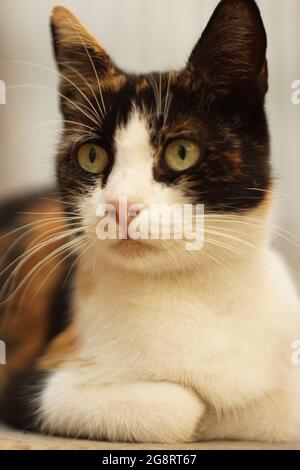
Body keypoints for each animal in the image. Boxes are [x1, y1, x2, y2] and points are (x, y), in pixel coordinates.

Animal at [0, 0, 298, 442]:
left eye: (181, 152)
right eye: (92, 156)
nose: (121, 206)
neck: (188, 290)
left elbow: (278, 404)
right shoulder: (25, 382)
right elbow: (183, 406)